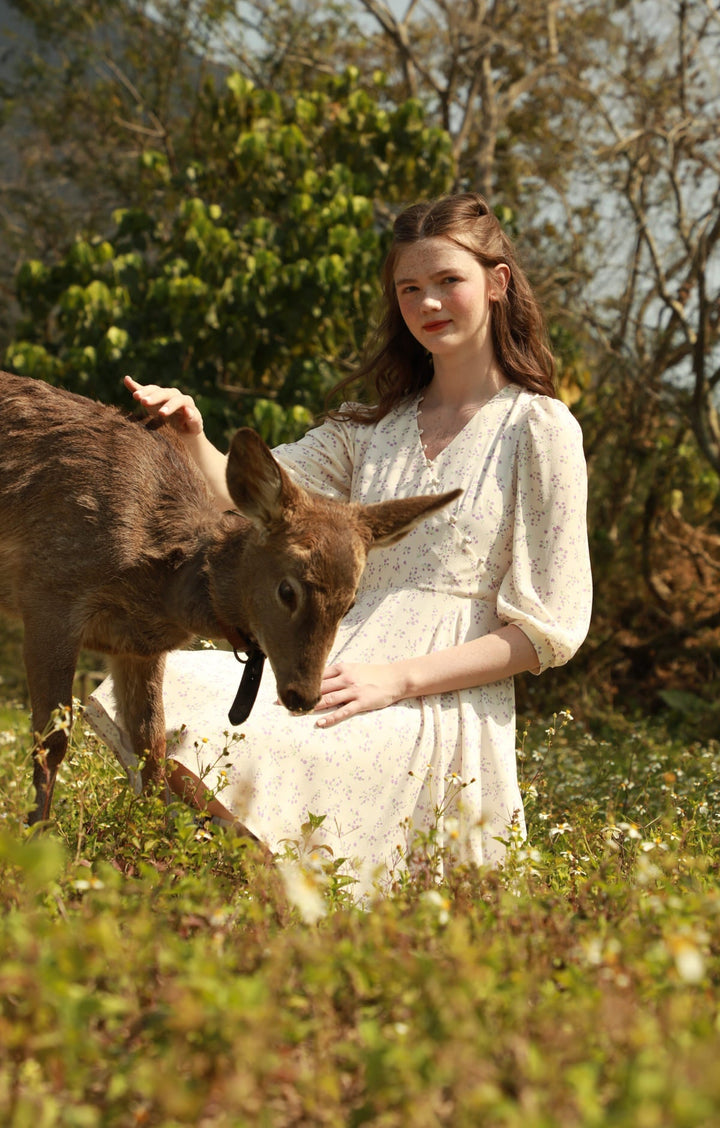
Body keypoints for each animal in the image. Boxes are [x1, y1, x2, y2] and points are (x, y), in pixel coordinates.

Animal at [0, 374, 462, 825]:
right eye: (287, 589)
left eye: (348, 604)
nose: (303, 697)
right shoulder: (50, 591)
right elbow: (52, 742)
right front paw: (38, 834)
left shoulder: (136, 647)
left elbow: (152, 744)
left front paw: (156, 831)